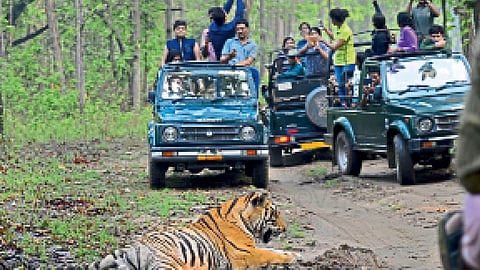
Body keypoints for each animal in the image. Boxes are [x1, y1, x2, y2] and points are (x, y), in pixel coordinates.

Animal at [89, 191, 300, 268]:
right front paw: (291, 258)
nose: (285, 228)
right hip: (170, 263)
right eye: (275, 213)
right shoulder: (245, 254)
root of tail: (127, 250)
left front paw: (294, 254)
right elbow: (269, 253)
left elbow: (274, 250)